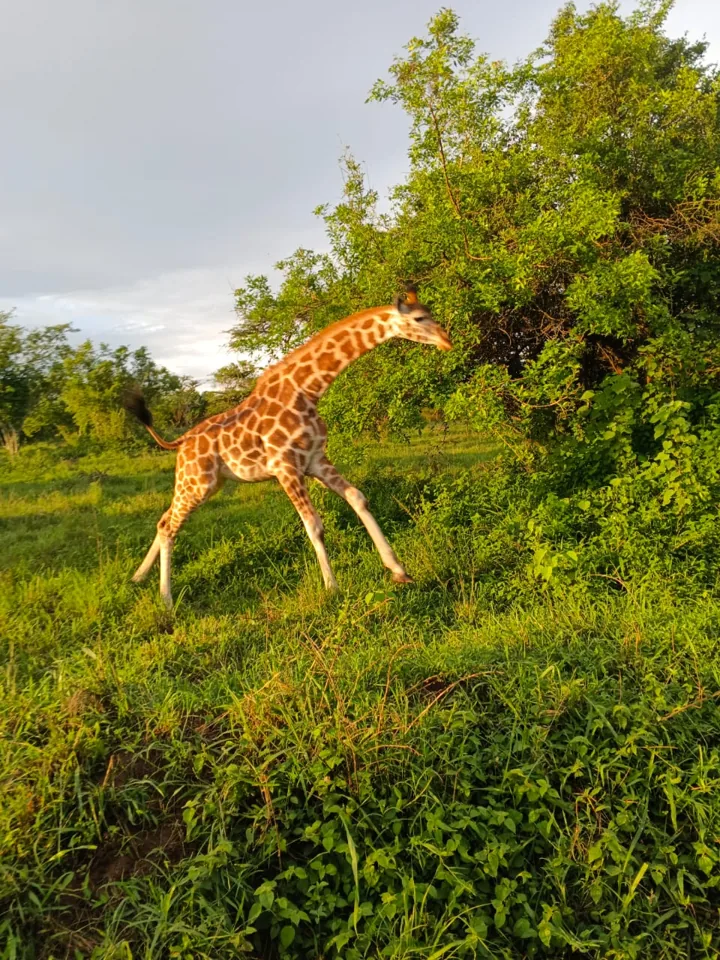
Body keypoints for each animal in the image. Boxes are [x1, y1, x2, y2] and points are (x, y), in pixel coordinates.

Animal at [124, 287, 452, 609]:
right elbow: (314, 525)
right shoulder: (286, 467)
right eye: (420, 318)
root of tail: (180, 442)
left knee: (163, 520)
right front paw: (332, 589)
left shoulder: (316, 460)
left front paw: (399, 570)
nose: (446, 340)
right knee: (169, 526)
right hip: (197, 482)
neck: (308, 390)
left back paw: (138, 578)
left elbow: (358, 499)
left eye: (430, 312)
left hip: (207, 483)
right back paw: (166, 600)